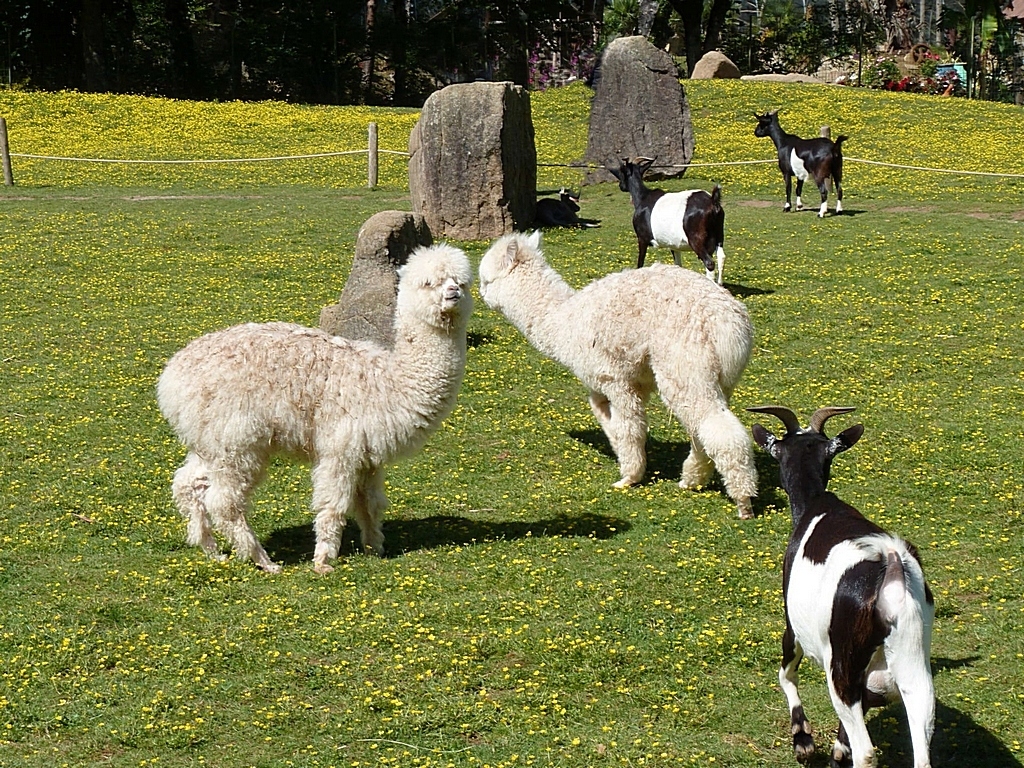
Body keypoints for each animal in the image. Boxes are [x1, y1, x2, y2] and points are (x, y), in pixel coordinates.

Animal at [606, 156, 729, 286]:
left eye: (622, 171)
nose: (621, 185)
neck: (642, 197)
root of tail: (713, 202)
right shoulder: (674, 245)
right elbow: (678, 265)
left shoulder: (642, 238)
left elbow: (640, 263)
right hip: (719, 235)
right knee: (721, 257)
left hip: (696, 240)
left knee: (709, 263)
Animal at [745, 405, 937, 768]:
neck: (816, 503)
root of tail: (891, 566)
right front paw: (835, 749)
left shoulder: (793, 624)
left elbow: (786, 674)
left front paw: (803, 740)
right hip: (913, 662)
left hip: (841, 662)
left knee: (866, 751)